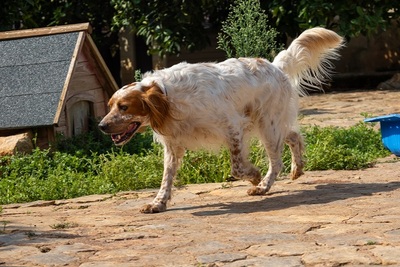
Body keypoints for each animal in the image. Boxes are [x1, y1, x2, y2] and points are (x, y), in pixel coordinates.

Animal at [98, 27, 342, 214]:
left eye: (124, 107)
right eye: (110, 106)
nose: (101, 126)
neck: (168, 99)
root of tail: (275, 67)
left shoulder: (233, 128)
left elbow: (237, 168)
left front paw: (254, 177)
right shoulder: (173, 146)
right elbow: (166, 178)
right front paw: (158, 203)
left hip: (267, 126)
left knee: (276, 161)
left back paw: (263, 186)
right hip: (269, 125)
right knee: (293, 135)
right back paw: (297, 167)